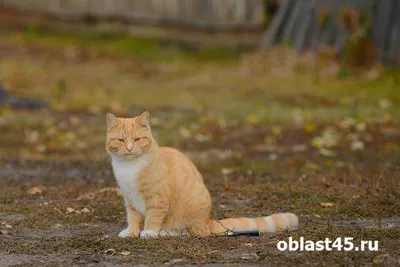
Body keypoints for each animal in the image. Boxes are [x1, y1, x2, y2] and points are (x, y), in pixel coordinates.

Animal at [104, 111, 298, 239]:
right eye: (121, 140)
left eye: (137, 139)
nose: (129, 148)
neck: (129, 166)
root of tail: (207, 220)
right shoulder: (130, 199)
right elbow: (133, 218)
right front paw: (131, 232)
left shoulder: (157, 199)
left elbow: (153, 217)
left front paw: (149, 232)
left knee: (195, 231)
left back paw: (166, 232)